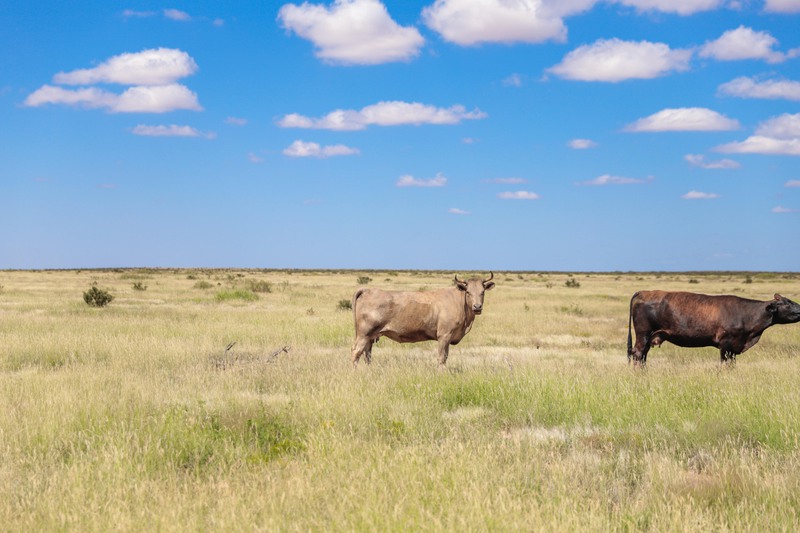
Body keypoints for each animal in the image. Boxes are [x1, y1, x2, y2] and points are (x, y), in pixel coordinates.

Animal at [350, 274, 494, 366]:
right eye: (468, 292)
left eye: (482, 292)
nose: (477, 307)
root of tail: (368, 290)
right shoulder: (444, 336)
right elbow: (442, 358)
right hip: (364, 334)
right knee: (356, 352)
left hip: (370, 336)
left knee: (367, 355)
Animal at [628, 288, 796, 364]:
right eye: (787, 303)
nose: (799, 308)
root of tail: (644, 292)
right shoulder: (726, 344)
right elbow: (725, 363)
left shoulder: (733, 347)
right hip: (643, 335)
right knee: (638, 354)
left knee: (643, 355)